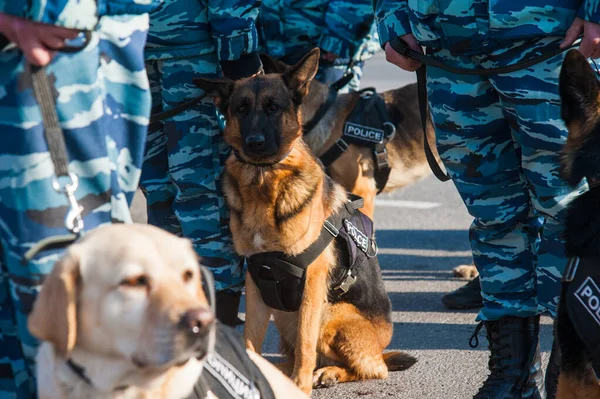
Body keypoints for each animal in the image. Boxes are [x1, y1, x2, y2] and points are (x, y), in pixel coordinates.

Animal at [195, 48, 414, 396]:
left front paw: (301, 385)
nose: (255, 143)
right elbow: (249, 341)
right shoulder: (255, 281)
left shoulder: (312, 280)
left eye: (273, 107)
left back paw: (327, 373)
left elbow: (305, 342)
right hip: (284, 314)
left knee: (371, 368)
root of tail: (382, 345)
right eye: (241, 109)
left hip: (331, 314)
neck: (264, 179)